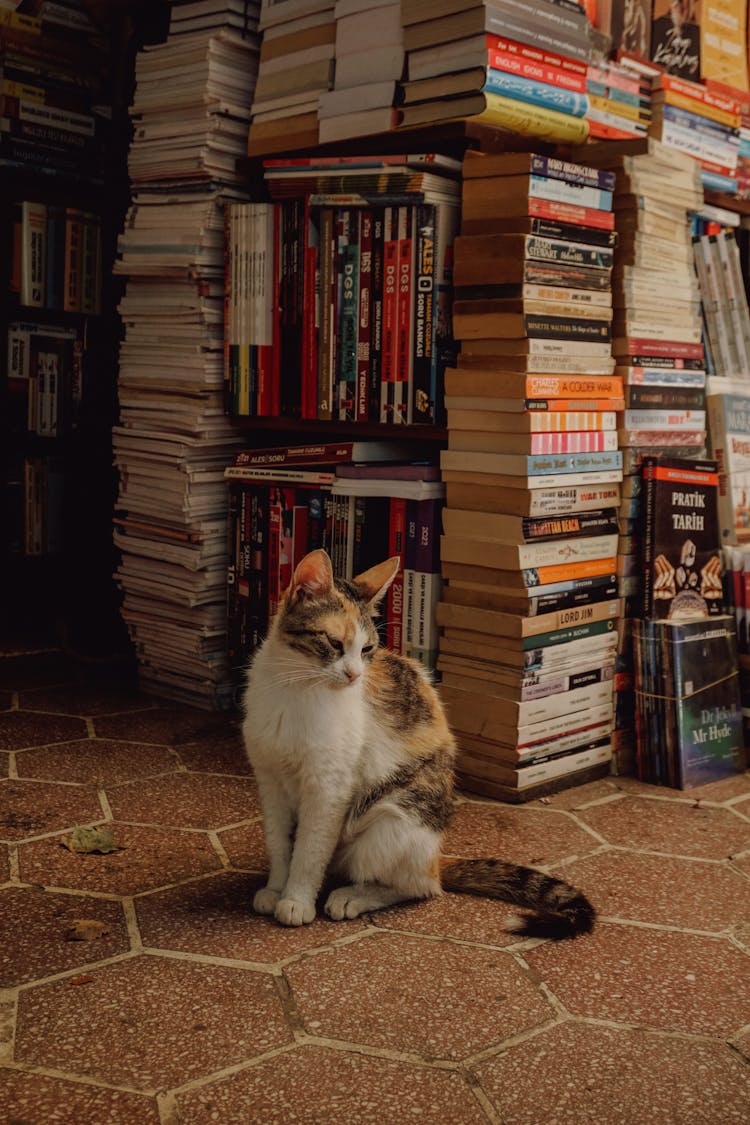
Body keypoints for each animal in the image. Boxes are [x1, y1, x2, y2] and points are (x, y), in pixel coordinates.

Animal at [244, 549, 593, 936]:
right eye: (334, 643)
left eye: (367, 649)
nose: (354, 675)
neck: (294, 686)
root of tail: (435, 858)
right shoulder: (270, 778)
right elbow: (279, 842)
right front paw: (276, 888)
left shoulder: (328, 788)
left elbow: (309, 850)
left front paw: (296, 900)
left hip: (392, 822)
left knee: (418, 887)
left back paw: (353, 896)